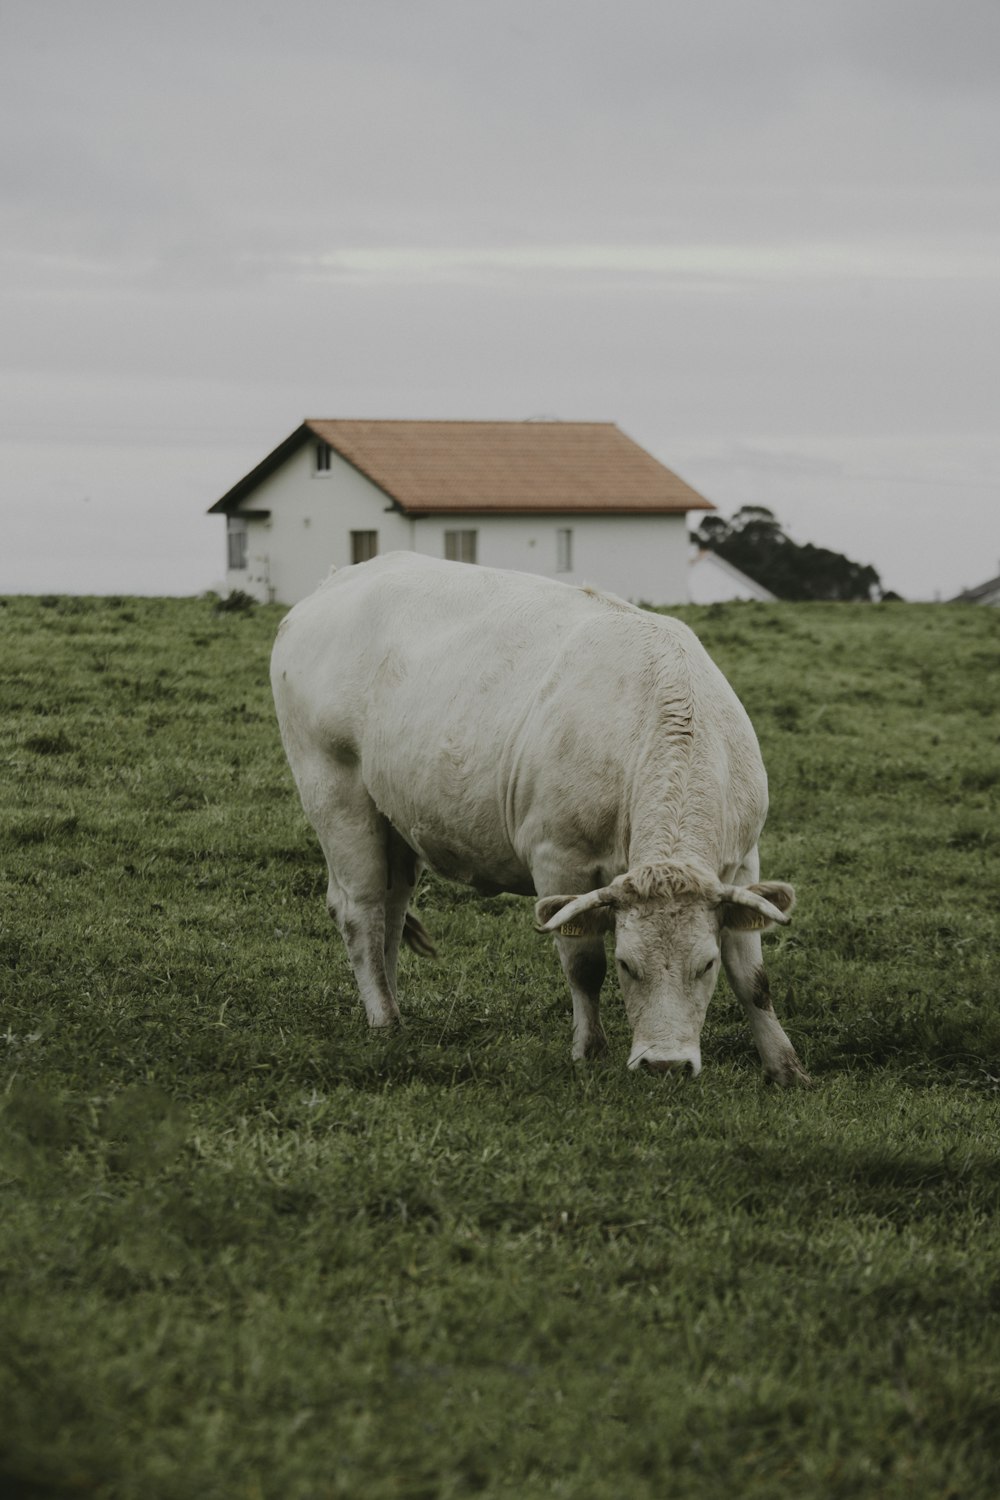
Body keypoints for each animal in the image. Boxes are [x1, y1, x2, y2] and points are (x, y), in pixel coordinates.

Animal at [269, 552, 809, 1080]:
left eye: (706, 964)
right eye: (627, 964)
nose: (665, 1065)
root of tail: (340, 579)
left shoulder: (742, 861)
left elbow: (753, 977)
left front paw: (784, 1067)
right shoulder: (558, 859)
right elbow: (583, 967)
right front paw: (589, 1051)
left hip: (395, 819)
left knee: (390, 909)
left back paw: (393, 1005)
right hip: (335, 791)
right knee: (359, 910)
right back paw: (382, 1018)